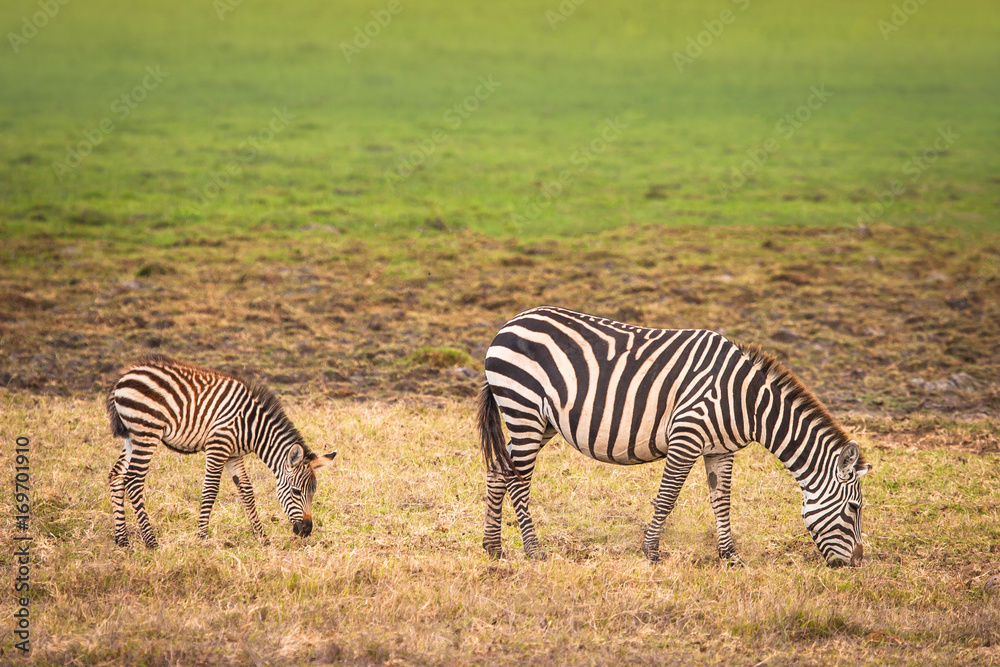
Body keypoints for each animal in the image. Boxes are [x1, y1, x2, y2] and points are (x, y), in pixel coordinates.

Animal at [107, 355, 336, 548]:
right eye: (296, 491)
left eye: (313, 492)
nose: (306, 530)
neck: (252, 426)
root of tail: (123, 377)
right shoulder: (218, 446)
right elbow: (210, 490)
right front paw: (201, 537)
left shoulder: (234, 455)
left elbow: (247, 491)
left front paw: (262, 537)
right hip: (147, 431)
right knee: (134, 480)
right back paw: (151, 542)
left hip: (133, 435)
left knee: (117, 475)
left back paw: (122, 540)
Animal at [477, 306, 871, 567]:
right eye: (855, 508)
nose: (855, 564)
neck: (748, 401)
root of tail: (510, 323)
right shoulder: (687, 436)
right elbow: (666, 498)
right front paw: (651, 552)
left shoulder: (720, 450)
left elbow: (721, 501)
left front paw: (730, 557)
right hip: (524, 409)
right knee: (517, 480)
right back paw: (533, 551)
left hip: (538, 421)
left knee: (498, 469)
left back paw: (493, 549)